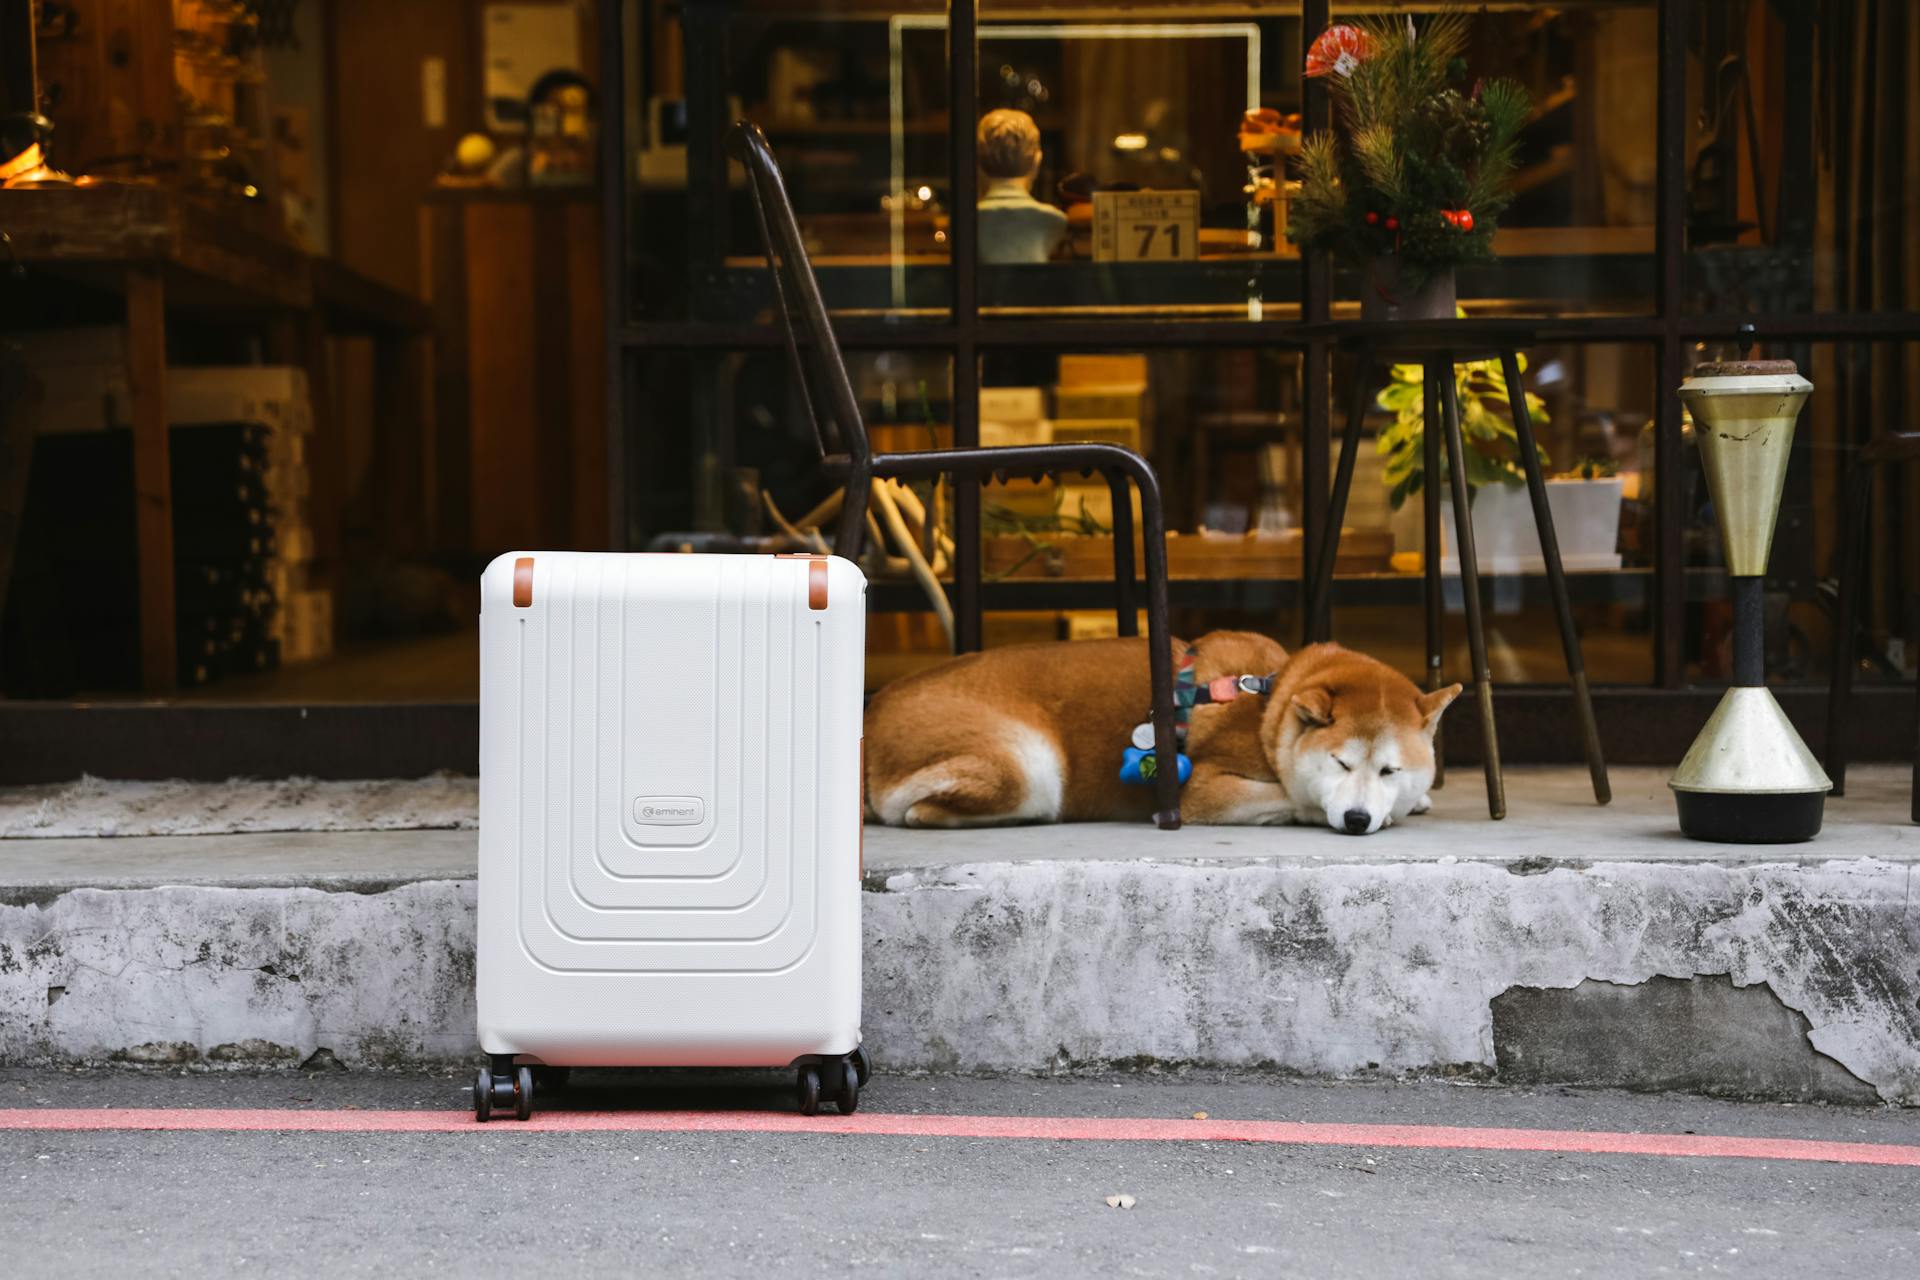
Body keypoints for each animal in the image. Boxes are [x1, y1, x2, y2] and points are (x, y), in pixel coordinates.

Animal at [864, 637, 1459, 836]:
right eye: (1340, 764)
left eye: (1390, 770)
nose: (1357, 820)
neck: (1268, 705)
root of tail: (869, 715)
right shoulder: (1202, 792)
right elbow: (1291, 797)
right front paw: (1314, 810)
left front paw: (1417, 800)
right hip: (1028, 768)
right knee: (917, 813)